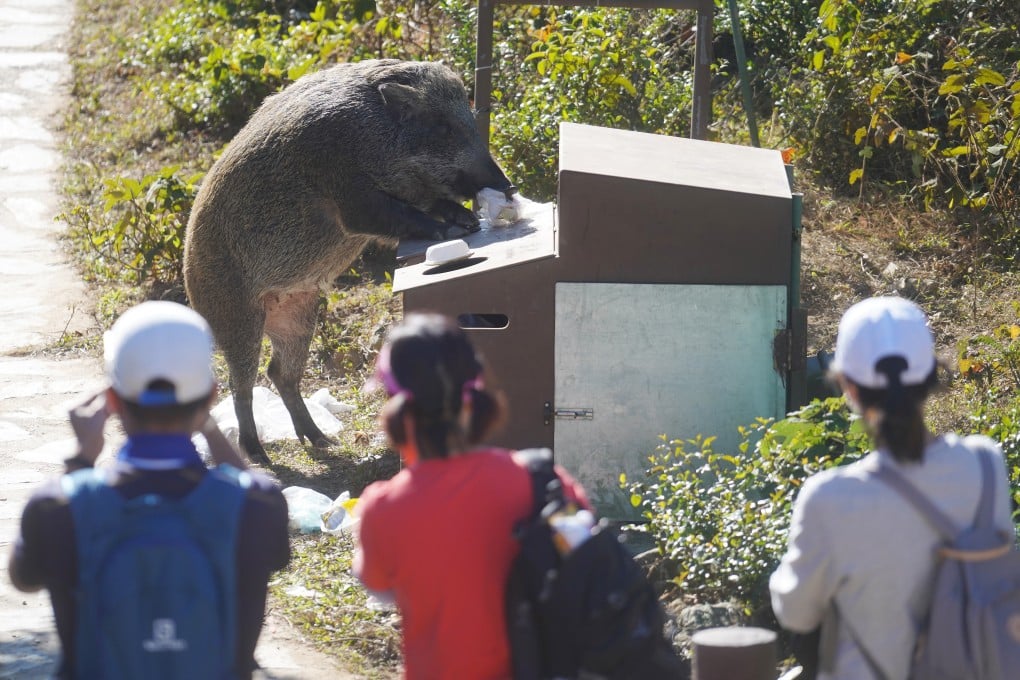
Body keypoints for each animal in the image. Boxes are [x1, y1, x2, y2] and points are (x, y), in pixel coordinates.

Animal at [183, 59, 514, 463]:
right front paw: (450, 230)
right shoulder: (350, 196)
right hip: (236, 316)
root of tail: (188, 281)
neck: (369, 134)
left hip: (299, 314)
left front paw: (466, 220)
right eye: (441, 126)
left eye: (469, 117)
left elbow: (427, 203)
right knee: (240, 381)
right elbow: (398, 216)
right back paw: (259, 456)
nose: (508, 185)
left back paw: (323, 441)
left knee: (280, 374)